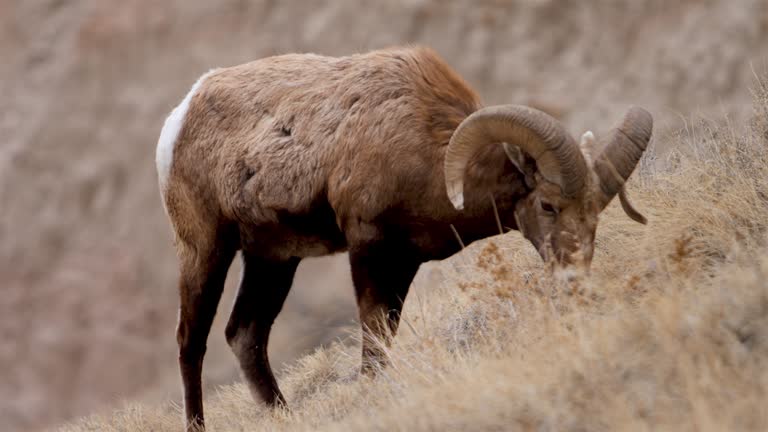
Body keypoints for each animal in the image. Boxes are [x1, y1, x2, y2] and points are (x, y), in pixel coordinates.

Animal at [156, 44, 656, 428]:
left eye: (596, 212)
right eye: (548, 206)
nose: (575, 277)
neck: (427, 151)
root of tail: (181, 116)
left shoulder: (404, 263)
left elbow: (386, 334)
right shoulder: (369, 249)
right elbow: (374, 335)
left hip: (273, 259)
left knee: (245, 334)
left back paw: (285, 416)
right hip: (207, 249)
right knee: (190, 341)